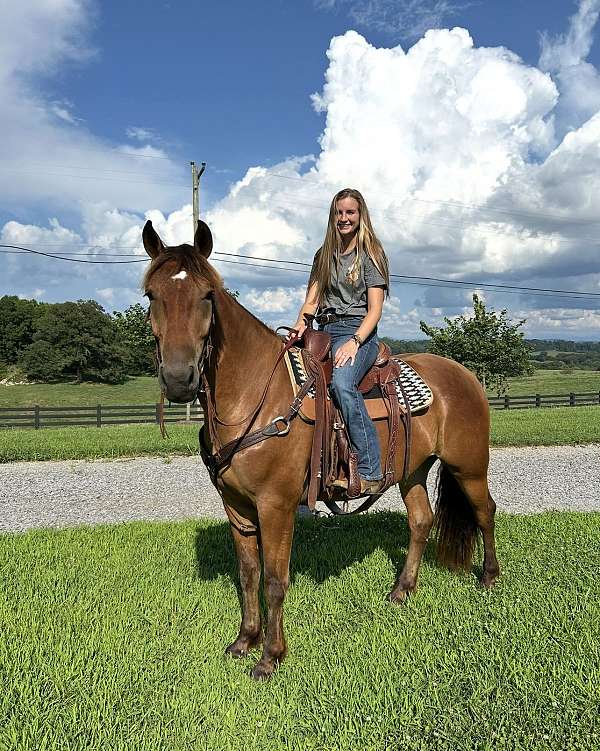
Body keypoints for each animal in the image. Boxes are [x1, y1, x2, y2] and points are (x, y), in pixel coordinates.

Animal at [142, 219, 500, 681]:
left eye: (207, 295)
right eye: (152, 295)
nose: (178, 378)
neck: (256, 394)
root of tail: (465, 375)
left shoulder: (276, 505)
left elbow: (275, 580)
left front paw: (270, 657)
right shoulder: (236, 506)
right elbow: (248, 574)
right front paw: (245, 640)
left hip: (468, 465)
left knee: (485, 511)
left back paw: (488, 577)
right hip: (413, 470)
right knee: (421, 521)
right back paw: (402, 591)